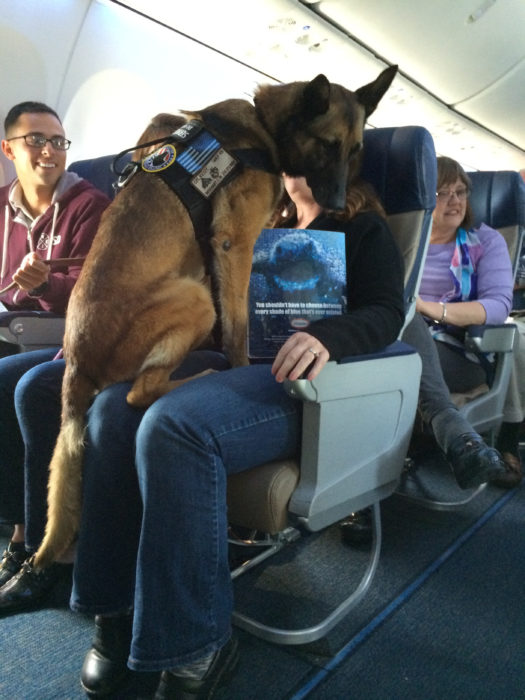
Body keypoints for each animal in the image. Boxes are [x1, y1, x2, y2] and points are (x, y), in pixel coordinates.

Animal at [33, 65, 398, 568]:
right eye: (327, 145)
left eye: (357, 148)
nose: (341, 205)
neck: (263, 125)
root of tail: (77, 364)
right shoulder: (234, 245)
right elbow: (238, 330)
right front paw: (240, 368)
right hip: (199, 299)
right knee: (139, 393)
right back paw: (199, 377)